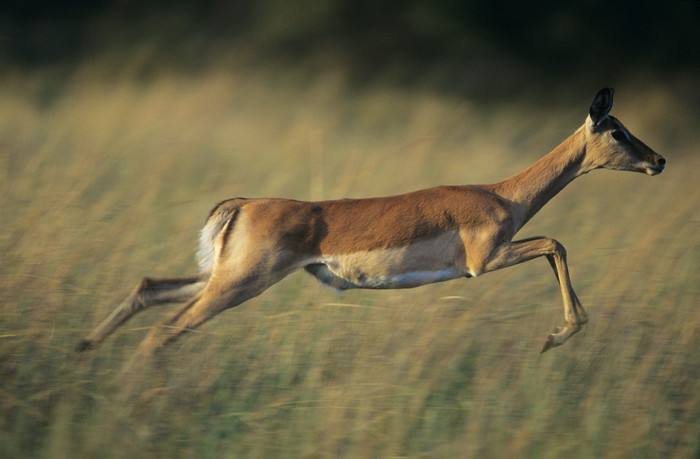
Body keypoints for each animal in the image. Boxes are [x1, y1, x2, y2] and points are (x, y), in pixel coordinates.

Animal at [78, 89, 668, 356]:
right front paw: (555, 335)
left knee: (149, 288)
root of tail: (242, 203)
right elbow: (556, 243)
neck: (501, 195)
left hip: (220, 277)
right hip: (240, 283)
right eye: (616, 130)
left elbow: (555, 246)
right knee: (165, 331)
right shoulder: (486, 261)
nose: (658, 160)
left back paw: (85, 350)